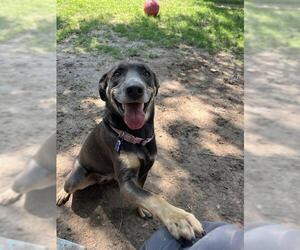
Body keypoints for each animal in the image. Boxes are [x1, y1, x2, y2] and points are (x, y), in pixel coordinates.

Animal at [56, 61, 204, 239]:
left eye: (146, 73)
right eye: (117, 74)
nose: (134, 89)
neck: (136, 136)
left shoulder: (143, 173)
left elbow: (143, 195)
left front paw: (141, 209)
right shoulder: (127, 181)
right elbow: (153, 197)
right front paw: (178, 217)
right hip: (76, 178)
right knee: (67, 183)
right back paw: (61, 193)